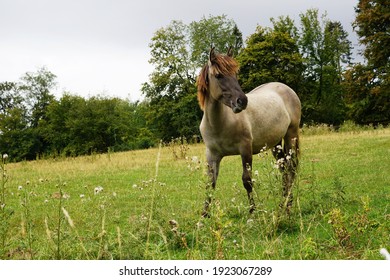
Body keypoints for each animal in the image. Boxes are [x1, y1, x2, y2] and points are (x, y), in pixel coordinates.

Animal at [198, 47, 302, 217]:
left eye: (235, 74)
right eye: (218, 75)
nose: (242, 101)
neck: (220, 123)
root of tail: (286, 88)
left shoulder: (245, 149)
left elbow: (247, 181)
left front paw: (253, 213)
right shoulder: (212, 155)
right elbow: (210, 184)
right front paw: (204, 216)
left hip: (290, 135)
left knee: (291, 168)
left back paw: (287, 207)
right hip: (275, 144)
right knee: (283, 168)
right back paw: (282, 205)